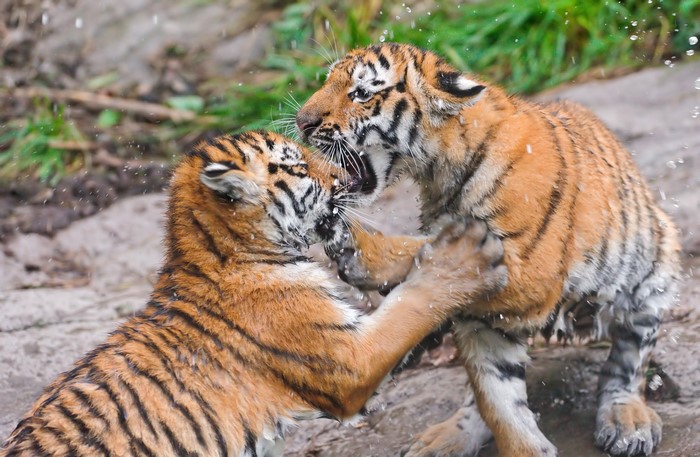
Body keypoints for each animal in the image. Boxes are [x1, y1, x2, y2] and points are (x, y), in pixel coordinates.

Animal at [0, 130, 508, 457]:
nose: (350, 178)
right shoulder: (350, 361)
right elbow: (413, 303)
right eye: (298, 165)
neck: (228, 253)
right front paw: (465, 254)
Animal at [295, 43, 681, 457]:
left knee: (627, 365)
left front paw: (364, 251)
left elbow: (431, 251)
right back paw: (445, 435)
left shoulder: (534, 273)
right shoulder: (483, 323)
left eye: (361, 94)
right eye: (328, 82)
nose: (301, 123)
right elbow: (499, 404)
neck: (439, 173)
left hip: (653, 274)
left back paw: (628, 421)